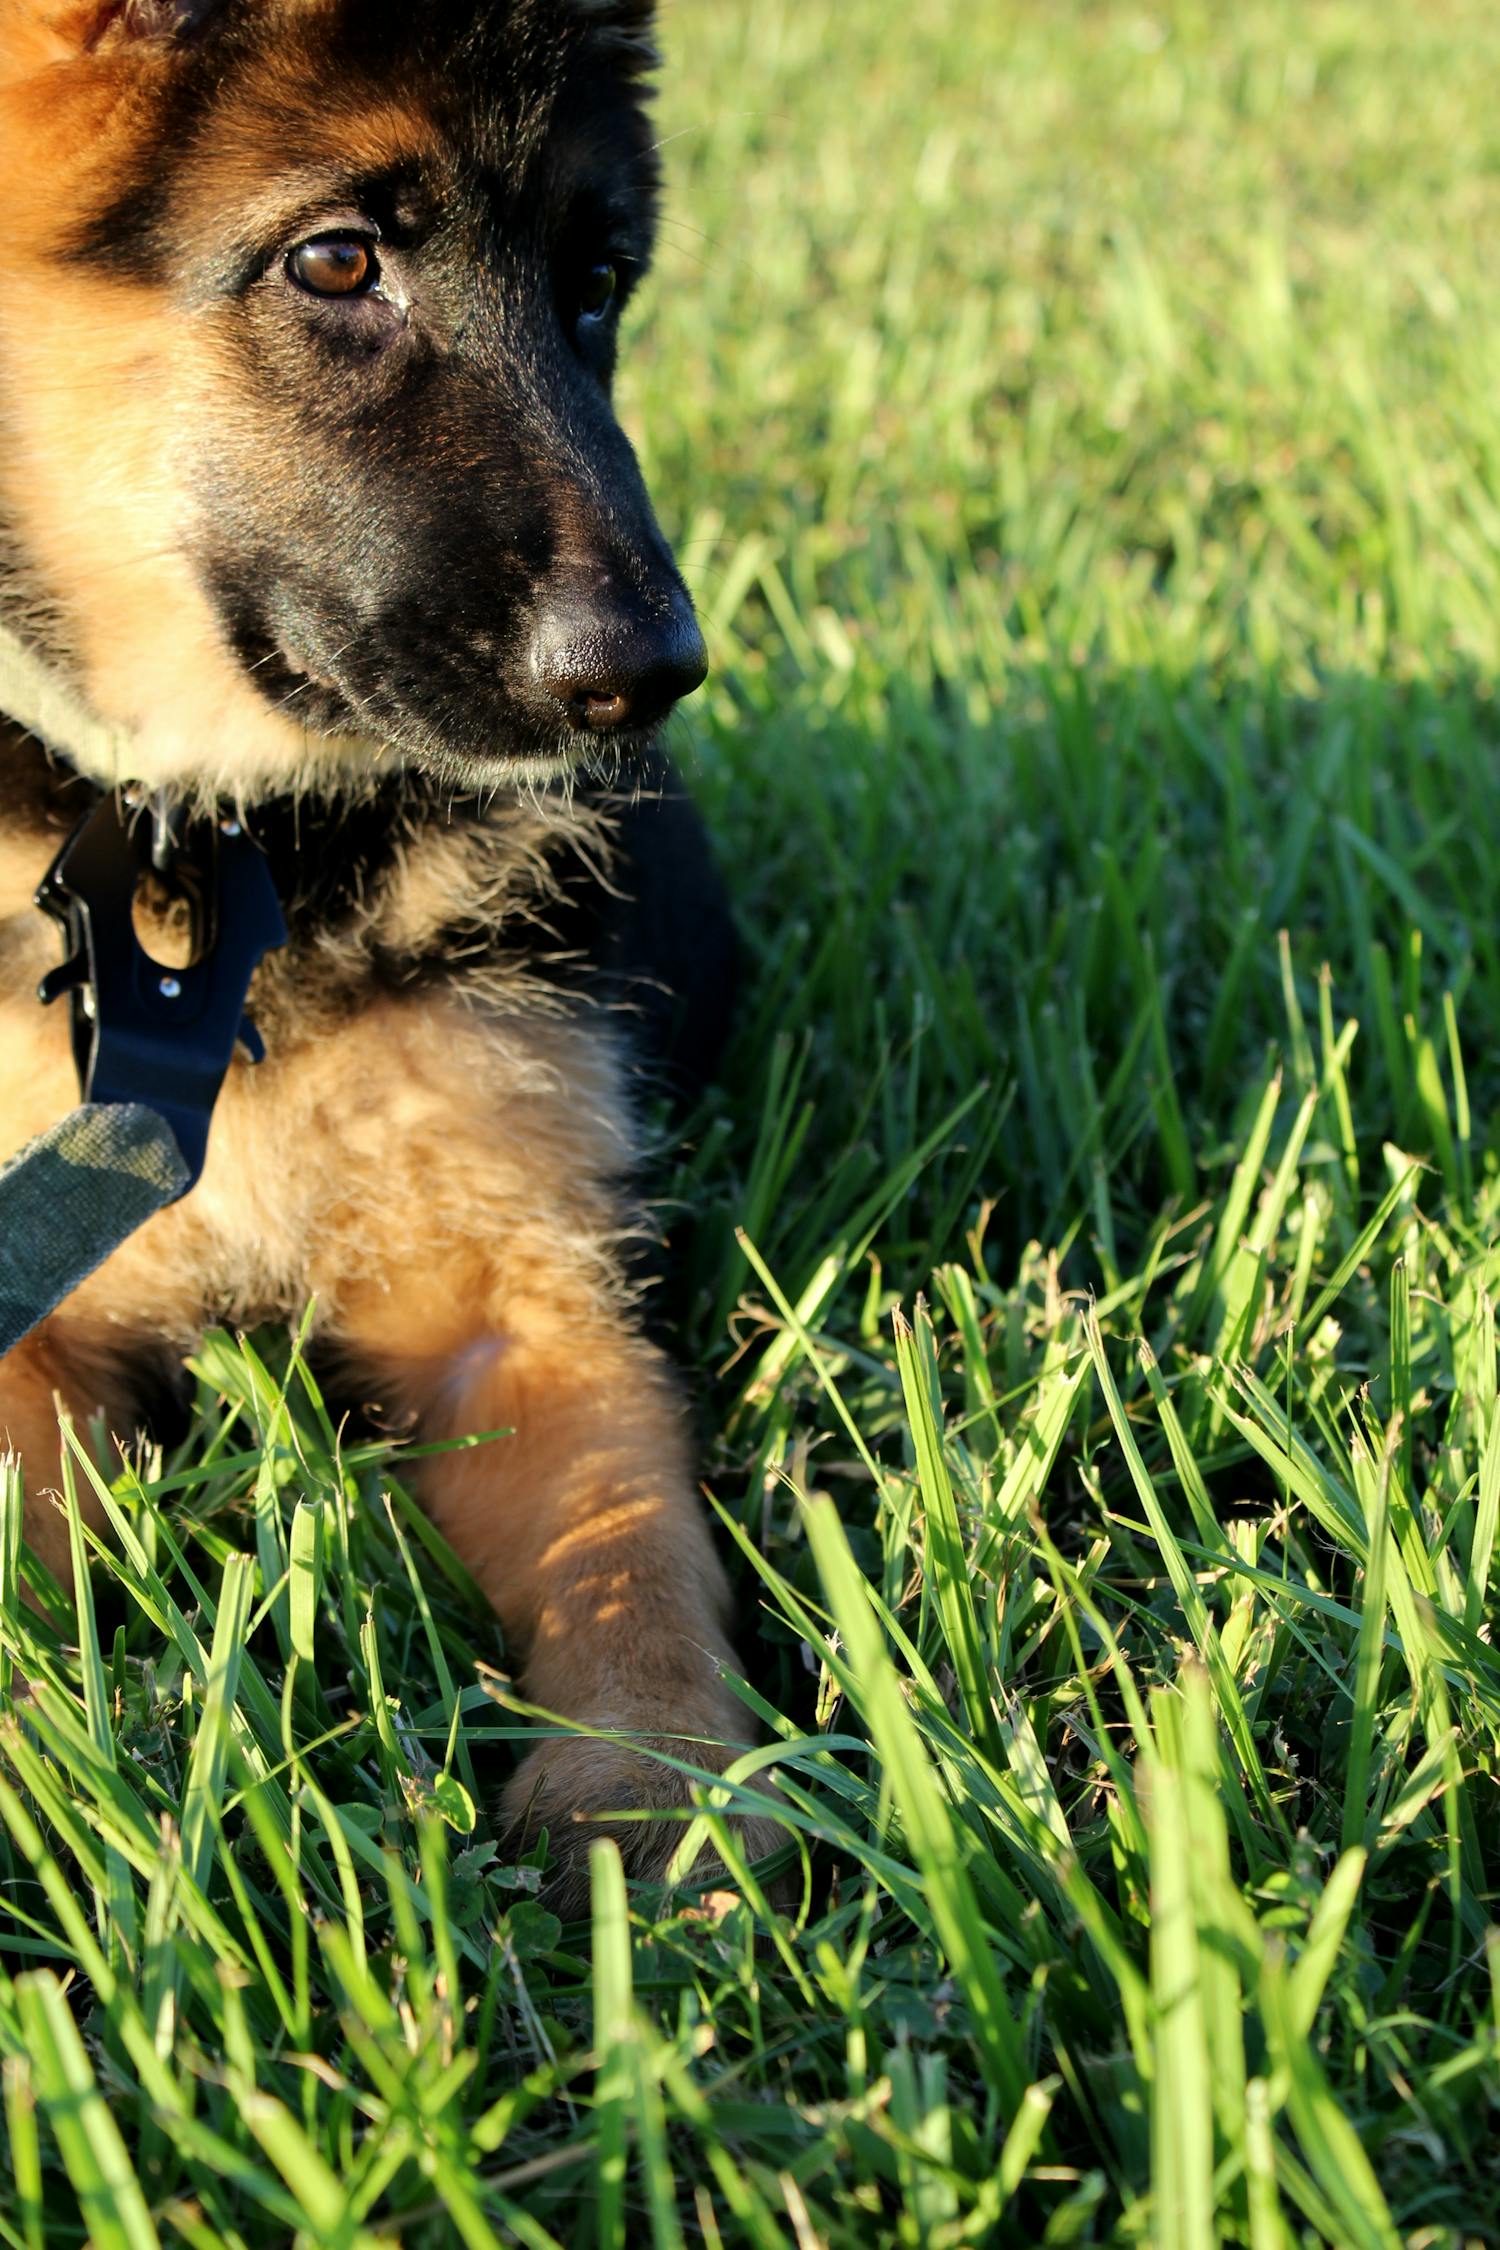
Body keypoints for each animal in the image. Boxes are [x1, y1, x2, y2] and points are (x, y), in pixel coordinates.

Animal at [0, 0, 782, 1908]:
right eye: (337, 260)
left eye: (597, 285)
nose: (651, 677)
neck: (213, 848)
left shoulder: (524, 1289)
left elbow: (632, 1539)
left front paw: (654, 1790)